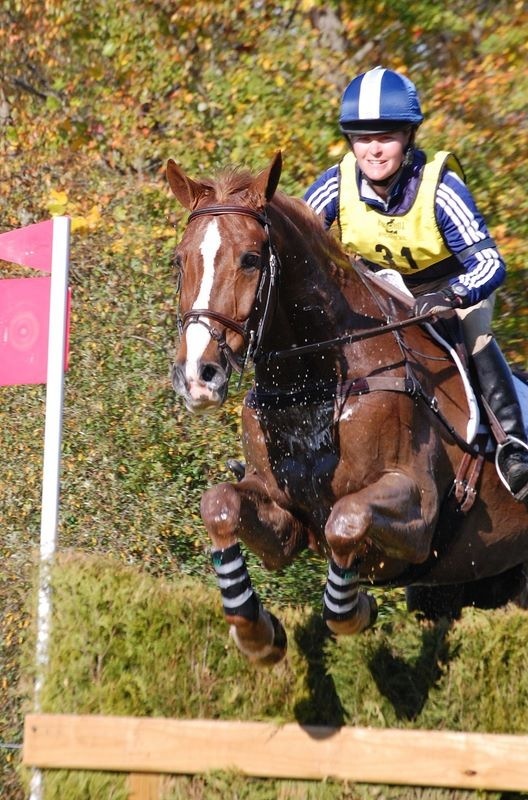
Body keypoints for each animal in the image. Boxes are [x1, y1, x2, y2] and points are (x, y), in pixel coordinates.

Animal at [166, 151, 528, 666]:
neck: (313, 384)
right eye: (179, 261)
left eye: (251, 259)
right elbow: (219, 504)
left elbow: (345, 520)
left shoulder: (420, 510)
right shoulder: (284, 516)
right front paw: (256, 632)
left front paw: (356, 608)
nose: (198, 375)